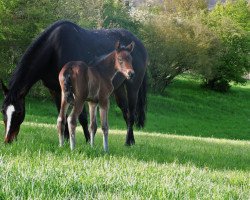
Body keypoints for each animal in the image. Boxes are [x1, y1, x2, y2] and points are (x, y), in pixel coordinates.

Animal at [0, 19, 147, 145]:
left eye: (19, 112)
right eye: (3, 111)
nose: (8, 140)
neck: (55, 50)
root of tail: (139, 44)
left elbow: (82, 117)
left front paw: (87, 140)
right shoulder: (55, 90)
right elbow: (62, 114)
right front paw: (64, 139)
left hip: (133, 87)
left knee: (131, 114)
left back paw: (128, 141)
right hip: (119, 88)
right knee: (125, 113)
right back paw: (131, 140)